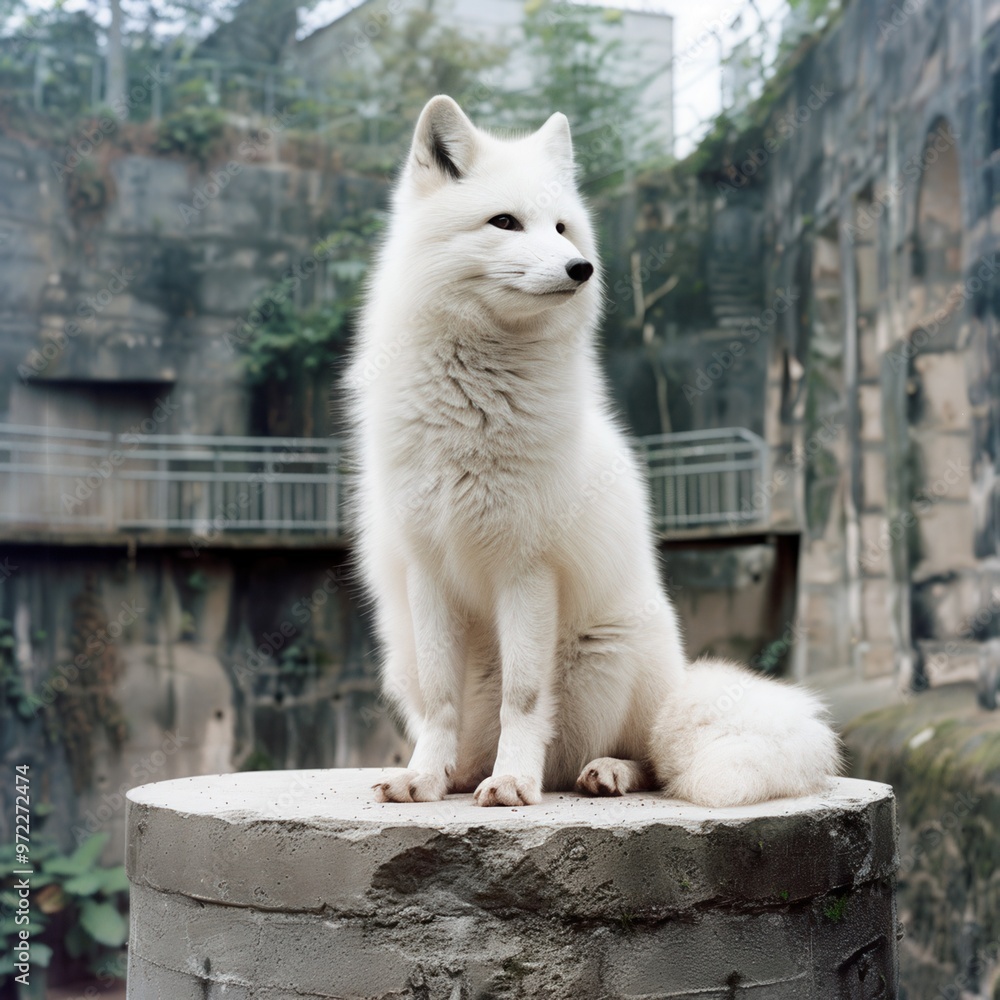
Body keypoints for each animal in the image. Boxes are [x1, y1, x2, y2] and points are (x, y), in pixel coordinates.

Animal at [346, 95, 841, 808]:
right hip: (404, 652)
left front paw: (514, 782)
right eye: (505, 222)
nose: (582, 268)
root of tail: (679, 680)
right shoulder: (428, 570)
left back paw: (598, 772)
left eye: (562, 228)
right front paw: (424, 775)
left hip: (607, 661)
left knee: (647, 760)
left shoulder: (527, 569)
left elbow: (525, 698)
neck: (473, 407)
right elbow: (440, 701)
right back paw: (462, 772)